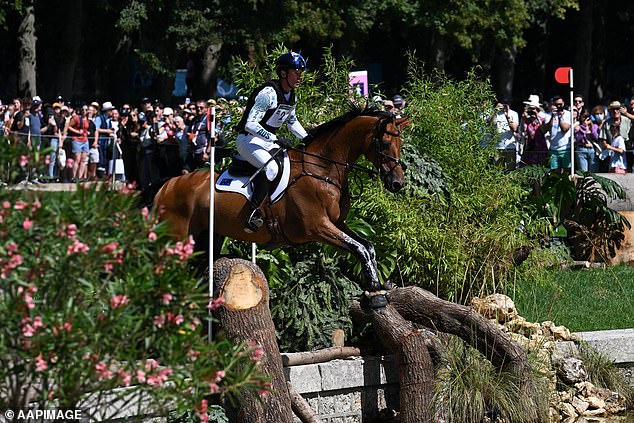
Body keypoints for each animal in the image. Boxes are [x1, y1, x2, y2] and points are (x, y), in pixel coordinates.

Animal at [156, 106, 408, 304]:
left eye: (400, 142)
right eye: (386, 143)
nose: (398, 183)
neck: (322, 170)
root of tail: (167, 185)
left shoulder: (337, 223)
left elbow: (368, 246)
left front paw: (376, 286)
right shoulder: (318, 227)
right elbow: (360, 249)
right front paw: (374, 289)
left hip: (208, 239)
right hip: (177, 241)